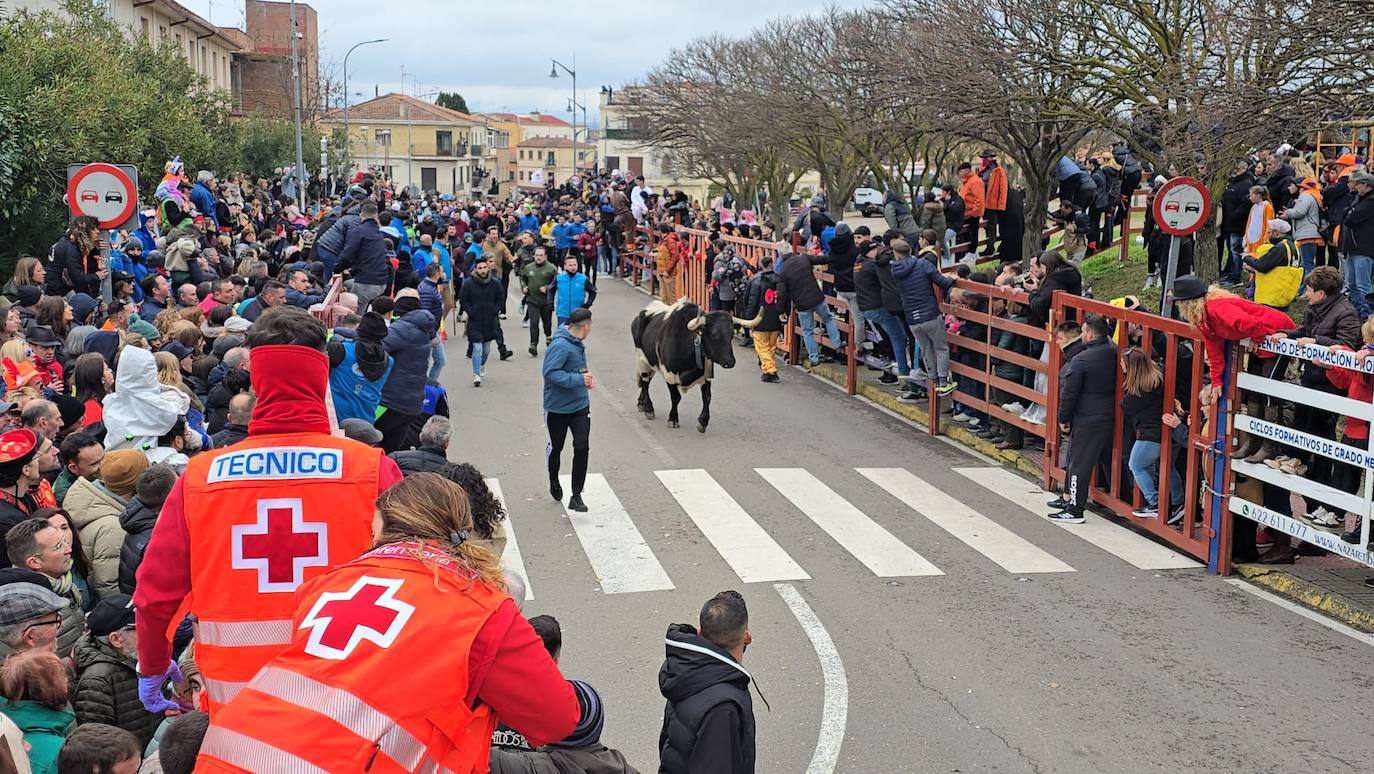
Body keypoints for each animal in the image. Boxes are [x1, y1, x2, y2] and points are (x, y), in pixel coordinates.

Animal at [629, 299, 763, 434]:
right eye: (714, 334)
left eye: (731, 334)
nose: (730, 362)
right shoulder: (669, 374)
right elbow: (676, 397)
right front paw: (673, 419)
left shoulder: (706, 375)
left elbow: (707, 397)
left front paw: (703, 422)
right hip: (642, 359)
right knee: (645, 382)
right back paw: (648, 408)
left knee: (646, 380)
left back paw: (641, 403)